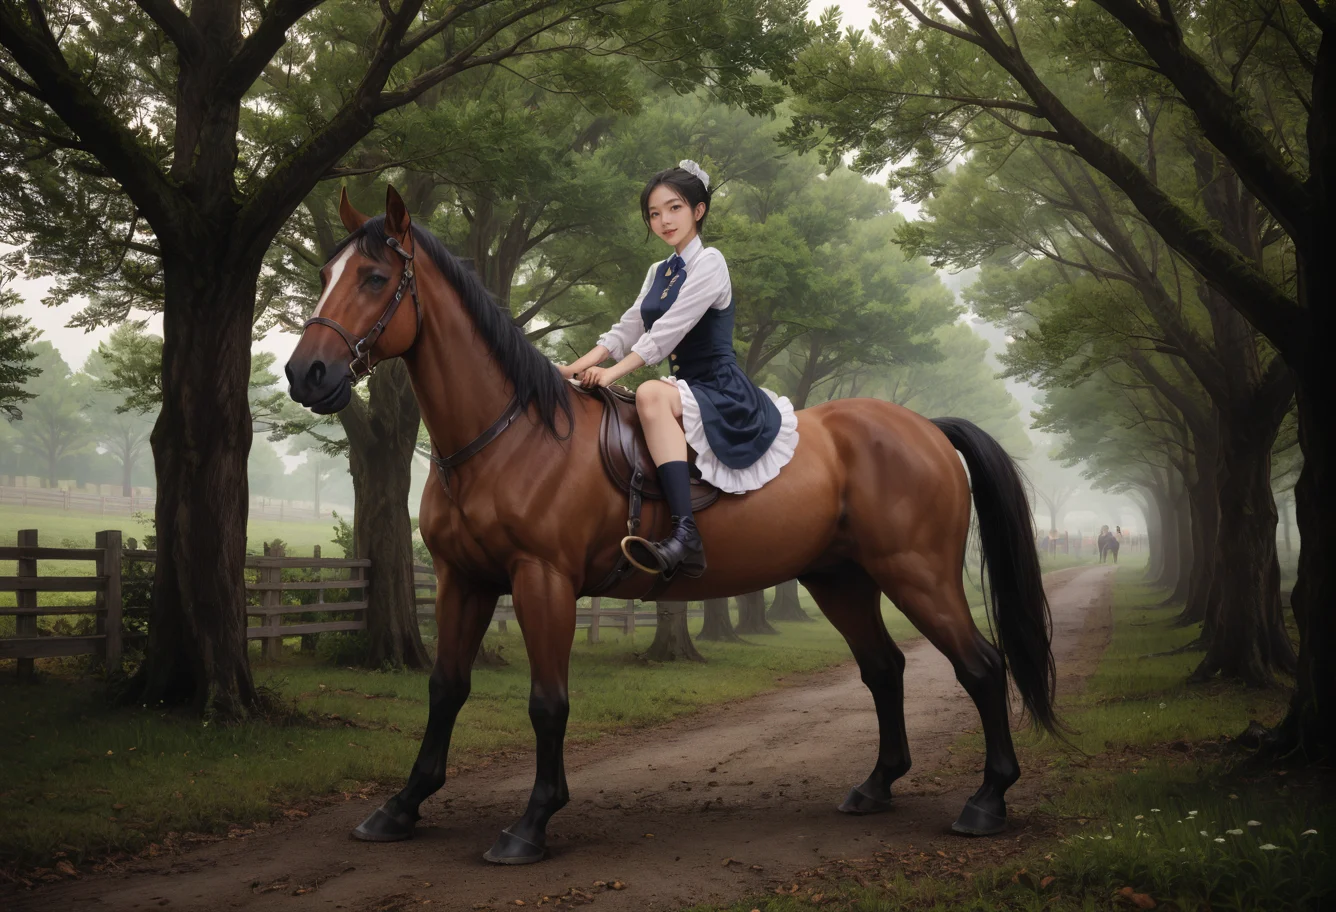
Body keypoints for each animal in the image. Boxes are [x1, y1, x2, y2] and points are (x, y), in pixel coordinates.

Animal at [284, 186, 1057, 865]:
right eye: (324, 275)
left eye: (375, 277)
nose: (305, 374)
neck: (508, 432)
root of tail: (925, 427)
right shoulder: (462, 581)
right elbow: (446, 688)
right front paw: (401, 807)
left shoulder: (543, 581)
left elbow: (547, 703)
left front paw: (531, 825)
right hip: (841, 579)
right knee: (884, 668)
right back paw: (876, 787)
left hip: (917, 573)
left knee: (982, 666)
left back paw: (987, 802)